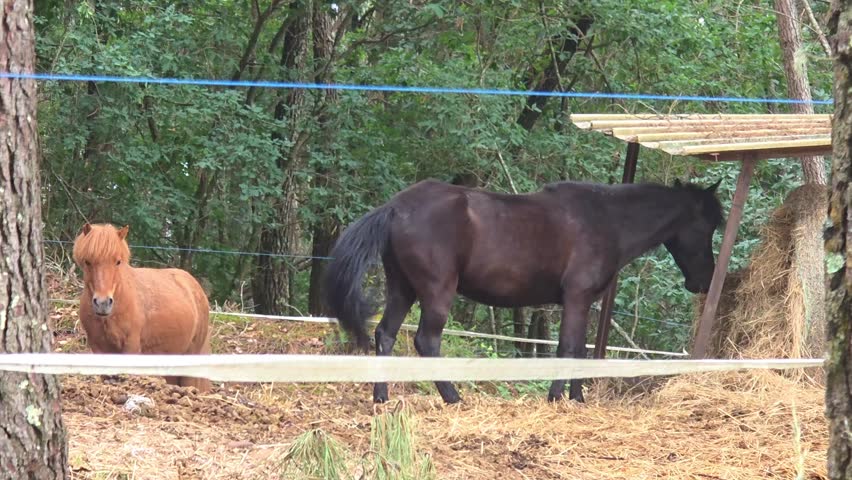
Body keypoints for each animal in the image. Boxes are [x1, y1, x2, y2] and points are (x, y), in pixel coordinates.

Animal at [72, 223, 213, 392]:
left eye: (117, 261)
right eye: (88, 261)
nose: (103, 303)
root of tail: (195, 286)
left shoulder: (131, 348)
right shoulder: (99, 349)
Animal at [323, 178, 724, 404]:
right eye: (708, 225)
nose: (705, 280)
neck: (608, 220)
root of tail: (395, 207)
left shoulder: (581, 304)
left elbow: (578, 350)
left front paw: (577, 398)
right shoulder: (577, 299)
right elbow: (568, 349)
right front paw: (557, 397)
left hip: (402, 288)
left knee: (386, 334)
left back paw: (381, 397)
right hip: (437, 292)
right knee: (427, 341)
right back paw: (453, 397)